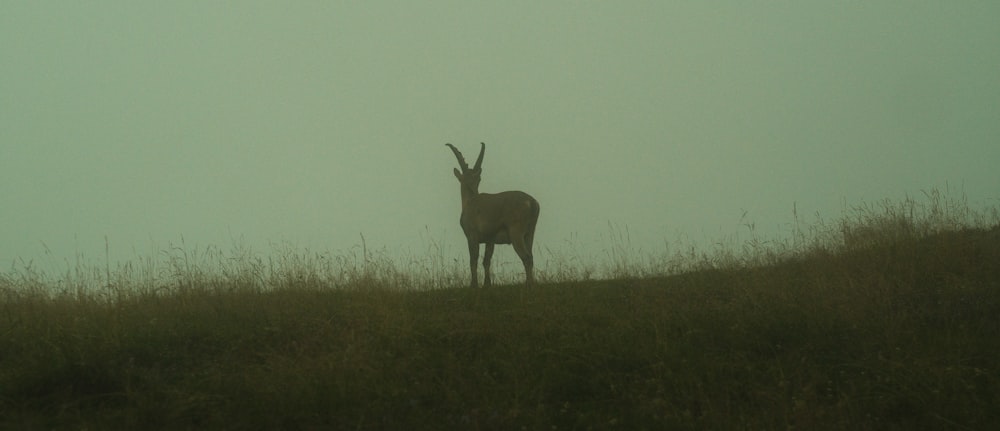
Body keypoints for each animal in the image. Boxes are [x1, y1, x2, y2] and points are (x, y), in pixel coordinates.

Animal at [446, 143, 540, 288]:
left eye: (477, 178)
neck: (470, 201)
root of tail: (532, 203)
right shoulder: (490, 239)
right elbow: (486, 261)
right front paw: (487, 284)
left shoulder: (472, 236)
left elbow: (473, 260)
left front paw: (473, 285)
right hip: (530, 233)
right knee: (531, 256)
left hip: (516, 233)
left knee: (527, 257)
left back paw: (528, 284)